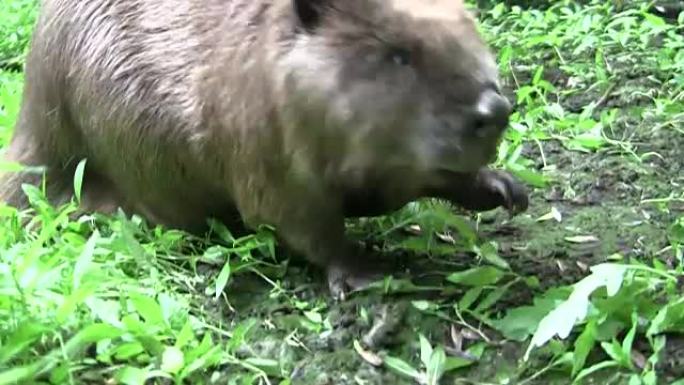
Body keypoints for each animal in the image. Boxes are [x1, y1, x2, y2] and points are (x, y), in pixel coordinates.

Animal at [0, 0, 528, 298]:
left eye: (469, 29)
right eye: (399, 54)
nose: (495, 109)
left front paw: (504, 188)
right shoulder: (262, 142)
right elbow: (296, 219)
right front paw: (365, 271)